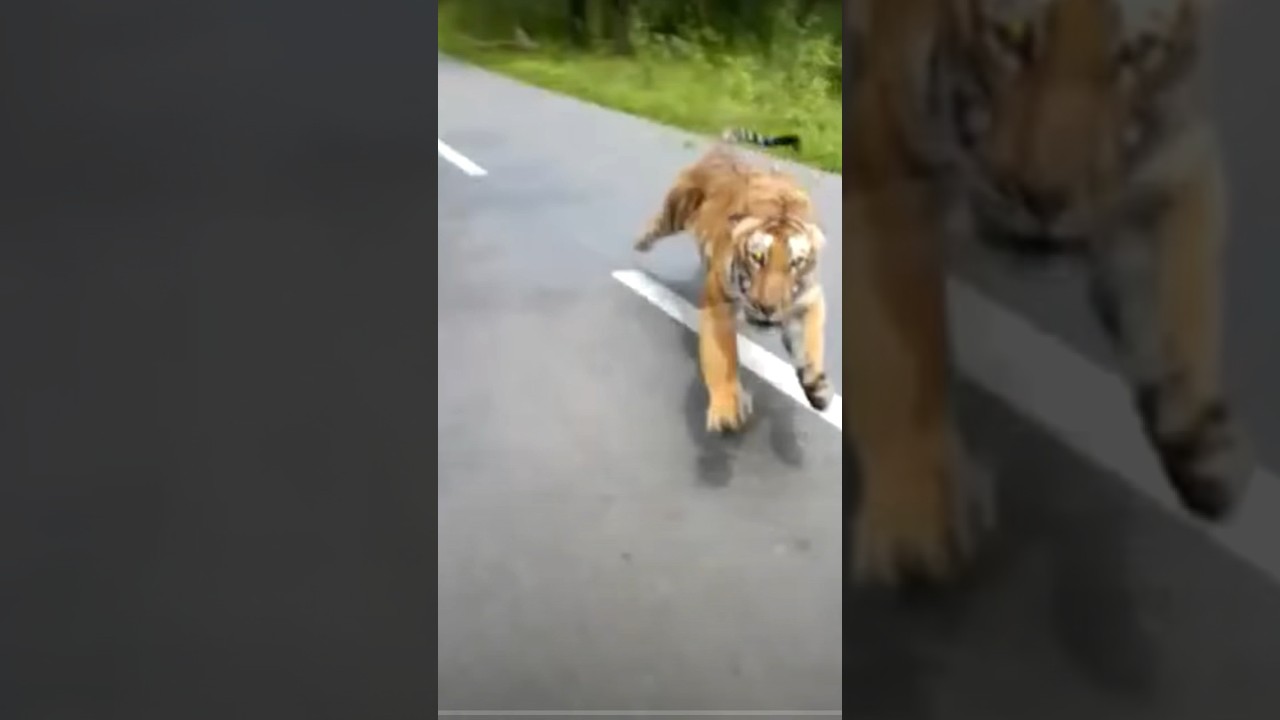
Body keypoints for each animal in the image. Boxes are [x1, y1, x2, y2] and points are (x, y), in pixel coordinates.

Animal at [634, 128, 831, 432]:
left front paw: (817, 389)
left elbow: (810, 345)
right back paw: (639, 243)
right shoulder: (720, 302)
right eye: (757, 258)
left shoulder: (809, 299)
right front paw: (727, 409)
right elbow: (723, 357)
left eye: (795, 263)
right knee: (657, 224)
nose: (766, 308)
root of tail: (722, 149)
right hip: (676, 209)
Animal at [844, 0, 1254, 585]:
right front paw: (917, 513)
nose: (1045, 198)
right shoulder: (887, 153)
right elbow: (901, 339)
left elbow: (1183, 298)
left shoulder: (1172, 150)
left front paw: (1203, 441)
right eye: (1012, 38)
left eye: (1134, 53)